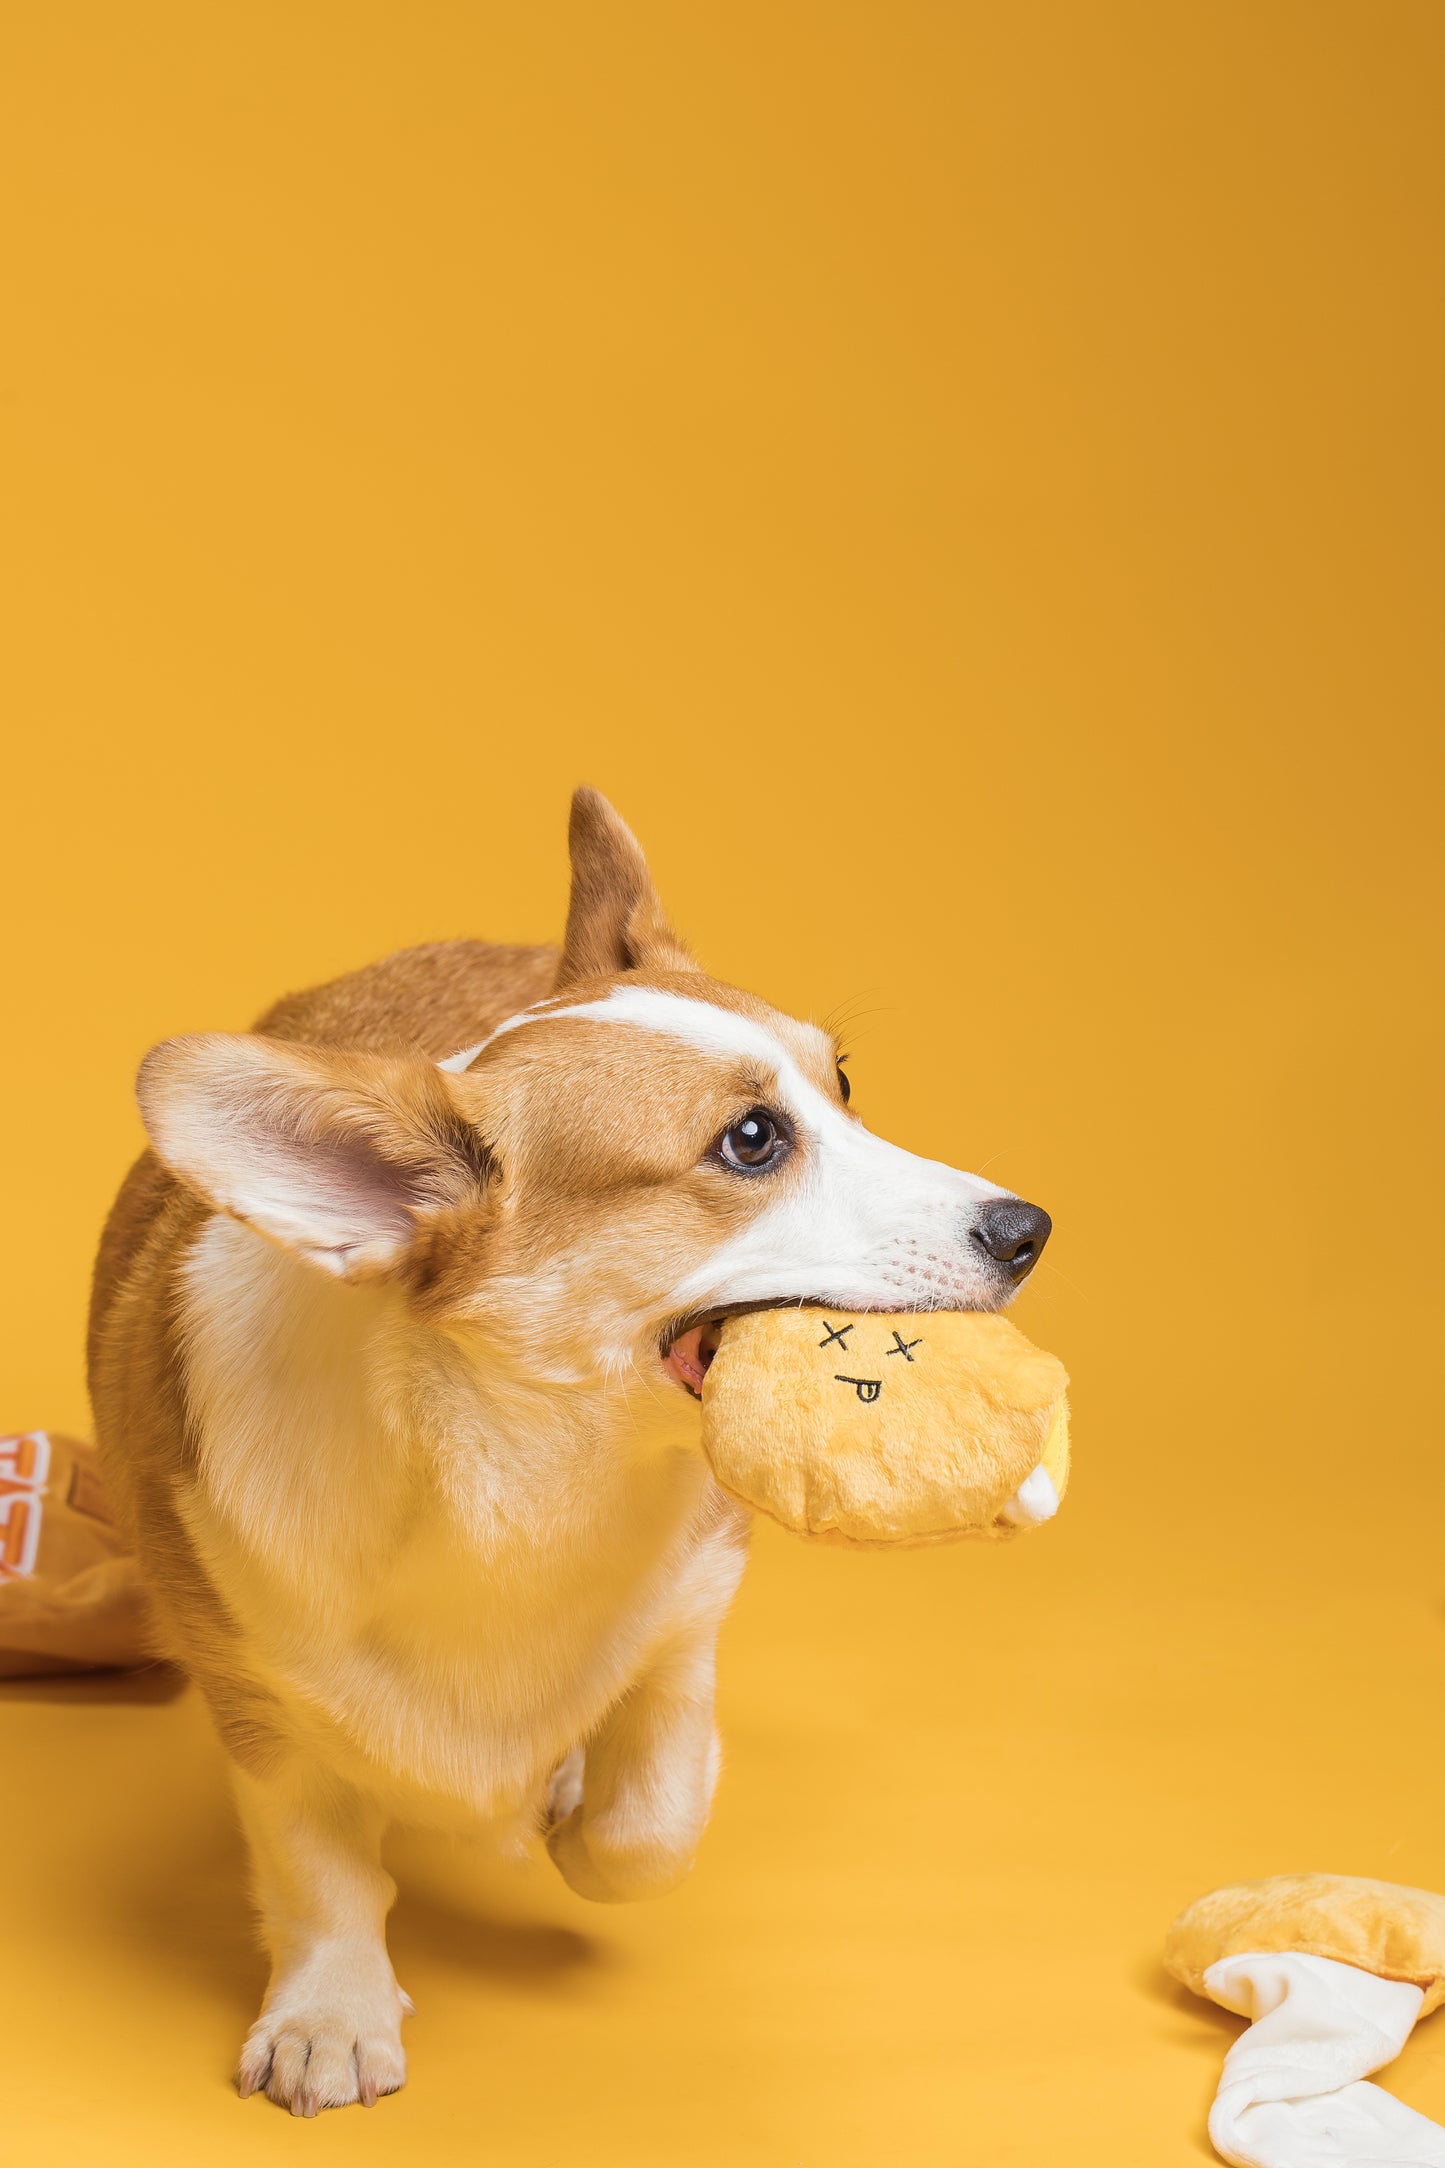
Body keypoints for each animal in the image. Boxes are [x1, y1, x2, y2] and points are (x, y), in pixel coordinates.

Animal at [90, 789, 1052, 2107]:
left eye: (844, 1082)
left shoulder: (687, 1621)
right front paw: (329, 2013)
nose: (1030, 1227)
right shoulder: (259, 1703)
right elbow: (317, 1866)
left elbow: (648, 1821)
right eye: (753, 1139)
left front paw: (564, 1817)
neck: (535, 1478)